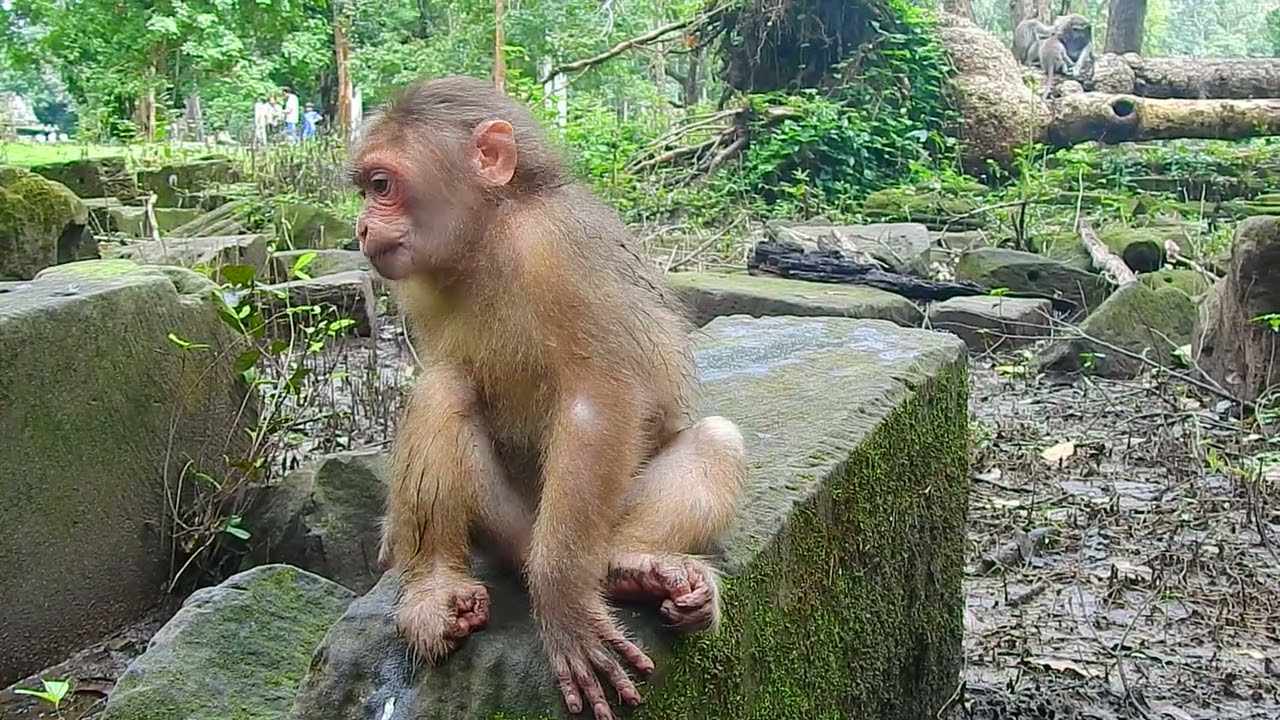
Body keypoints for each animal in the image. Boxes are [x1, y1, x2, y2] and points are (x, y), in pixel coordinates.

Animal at [351, 76, 747, 720]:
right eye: (365, 189)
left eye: (381, 186)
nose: (361, 227)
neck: (490, 237)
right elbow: (442, 375)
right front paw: (397, 541)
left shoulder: (557, 249)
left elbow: (598, 399)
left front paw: (562, 601)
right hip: (515, 527)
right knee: (445, 385)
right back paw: (436, 585)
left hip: (582, 529)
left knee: (717, 440)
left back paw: (638, 565)